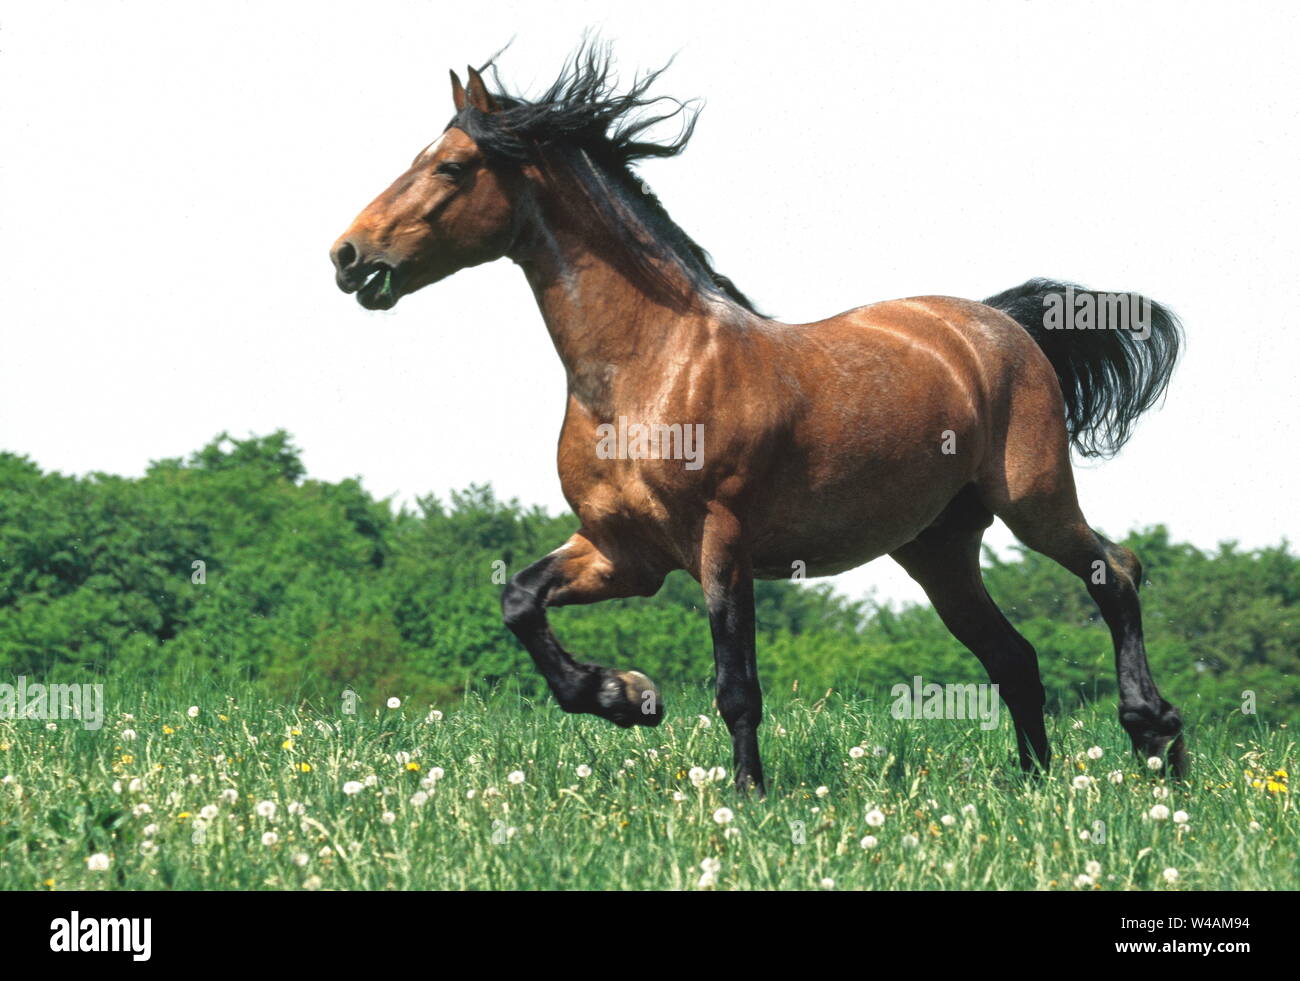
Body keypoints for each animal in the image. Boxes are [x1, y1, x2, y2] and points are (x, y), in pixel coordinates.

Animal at [329, 45, 1186, 795]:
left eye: (451, 165)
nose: (347, 255)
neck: (650, 369)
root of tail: (998, 323)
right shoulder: (622, 552)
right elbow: (519, 600)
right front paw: (626, 696)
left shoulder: (722, 541)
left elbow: (736, 683)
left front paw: (745, 792)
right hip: (937, 550)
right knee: (1015, 657)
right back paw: (1037, 782)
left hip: (1033, 501)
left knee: (1117, 572)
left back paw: (1157, 738)